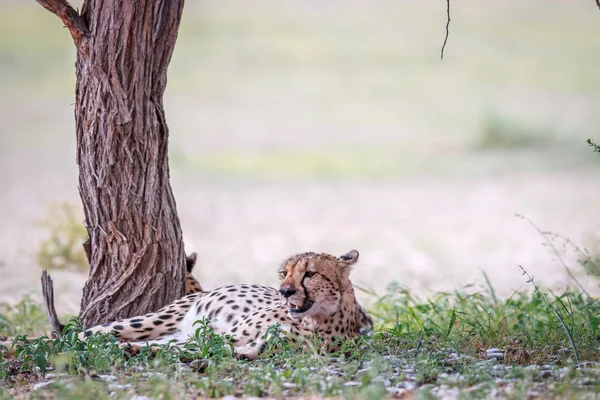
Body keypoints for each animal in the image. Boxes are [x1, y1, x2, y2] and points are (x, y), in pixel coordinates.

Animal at [79, 250, 370, 360]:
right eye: (283, 273)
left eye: (310, 274)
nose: (284, 291)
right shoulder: (227, 335)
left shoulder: (255, 346)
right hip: (154, 320)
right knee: (87, 332)